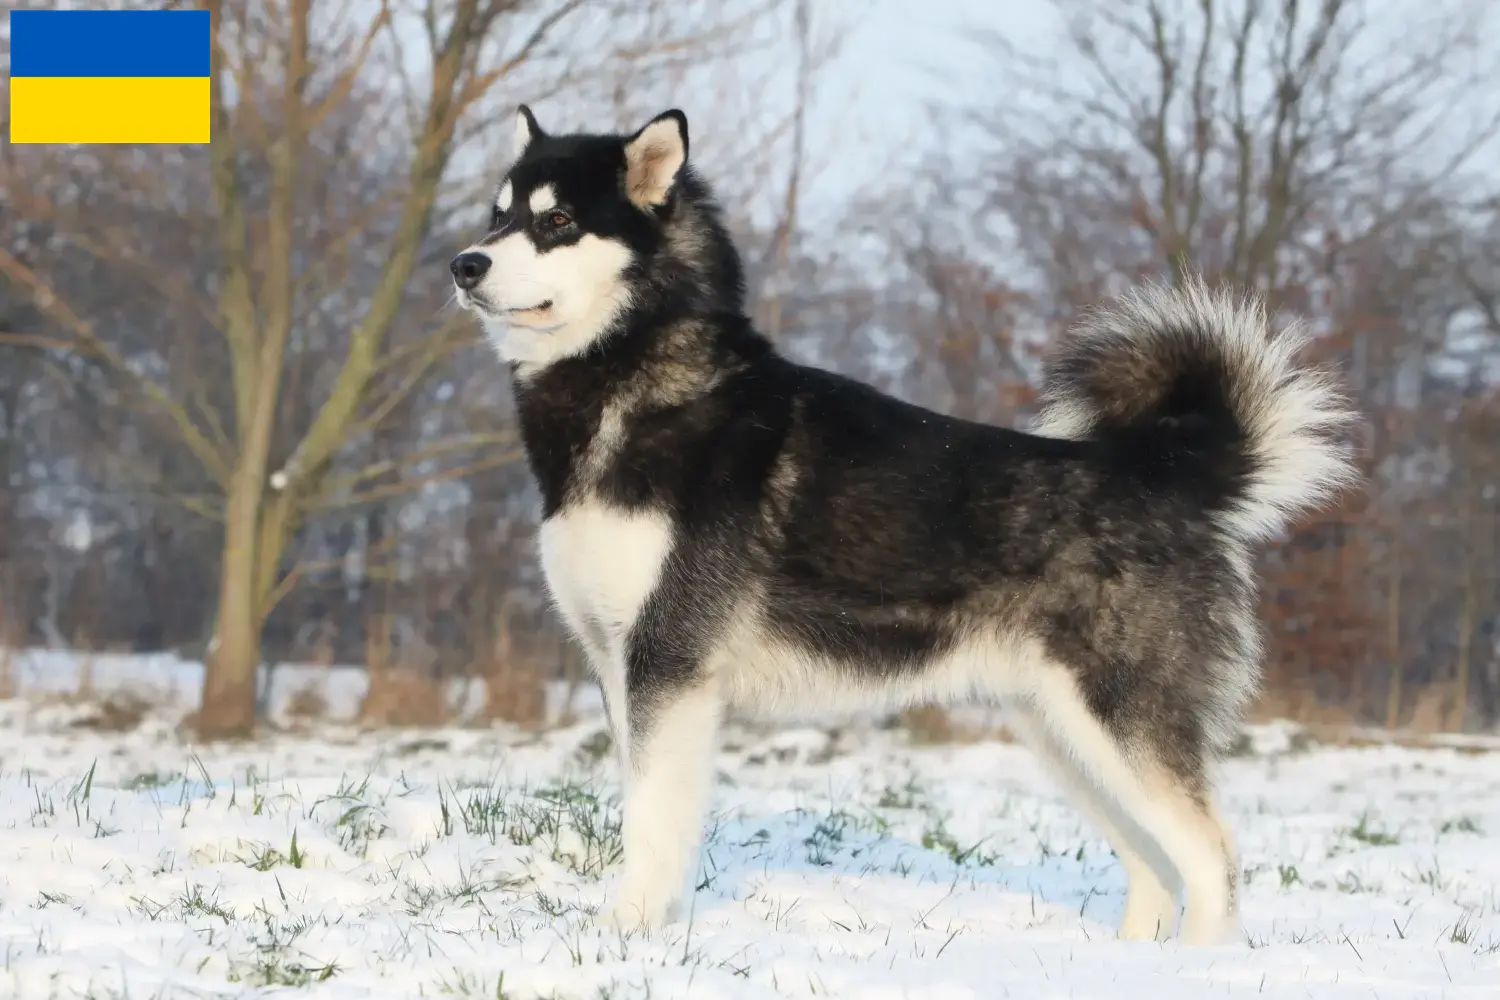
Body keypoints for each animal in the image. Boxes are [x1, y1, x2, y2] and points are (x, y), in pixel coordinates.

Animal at [444, 105, 1362, 941]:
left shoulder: (667, 665)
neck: (632, 384)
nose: (464, 263)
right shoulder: (617, 666)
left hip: (1121, 721)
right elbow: (647, 810)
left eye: (557, 221)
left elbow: (650, 820)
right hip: (1066, 735)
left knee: (1211, 859)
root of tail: (1161, 476)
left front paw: (627, 933)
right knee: (1153, 865)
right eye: (498, 212)